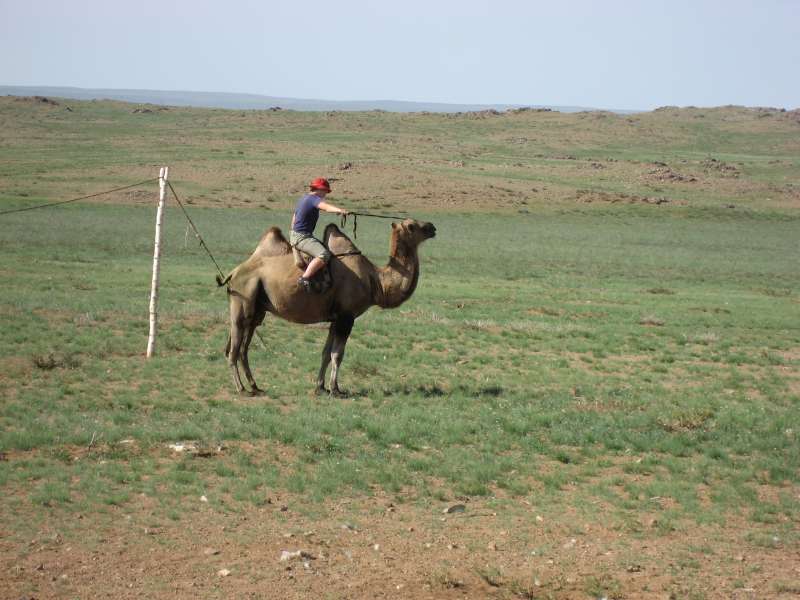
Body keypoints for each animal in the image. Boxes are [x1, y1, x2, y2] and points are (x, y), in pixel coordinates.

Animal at [217, 218, 438, 396]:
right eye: (412, 225)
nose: (432, 227)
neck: (375, 281)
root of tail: (234, 272)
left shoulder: (335, 318)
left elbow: (325, 352)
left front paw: (320, 387)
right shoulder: (347, 317)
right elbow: (337, 355)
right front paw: (335, 389)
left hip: (258, 310)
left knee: (244, 348)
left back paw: (255, 386)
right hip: (242, 301)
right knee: (234, 348)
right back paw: (241, 388)